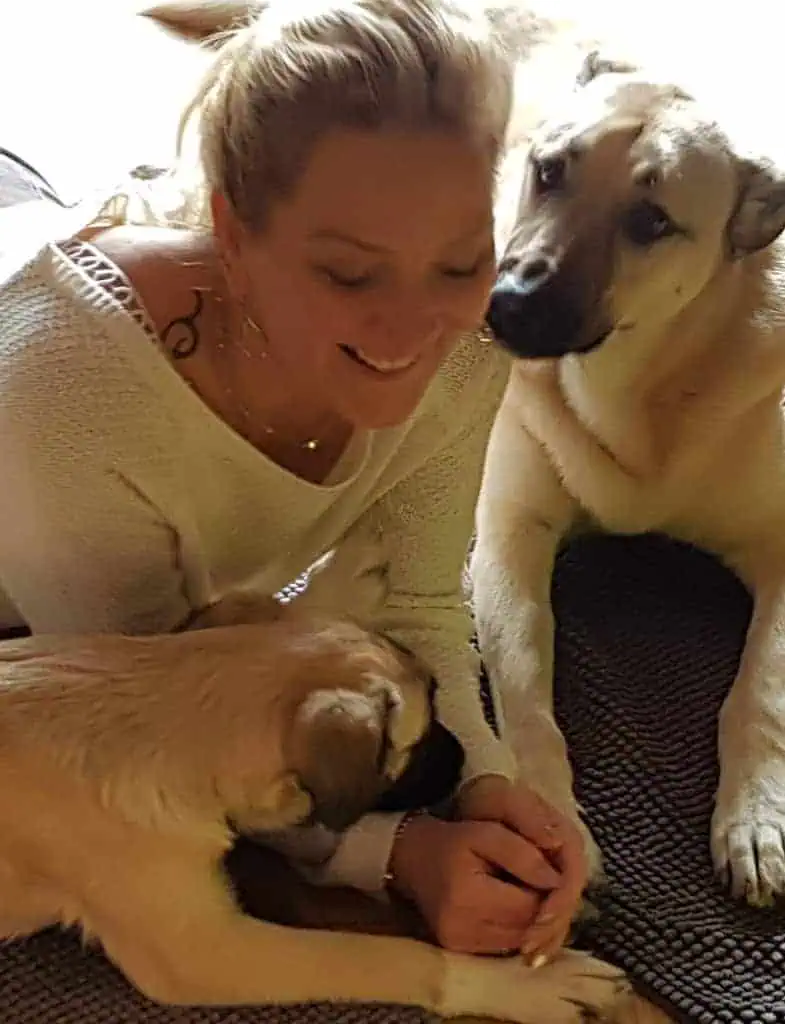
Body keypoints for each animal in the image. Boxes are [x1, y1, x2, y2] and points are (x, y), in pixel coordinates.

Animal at [471, 49, 785, 911]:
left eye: (649, 223)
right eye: (548, 171)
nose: (507, 307)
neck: (633, 388)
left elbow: (758, 691)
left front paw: (754, 817)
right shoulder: (506, 531)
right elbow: (521, 677)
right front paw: (549, 814)